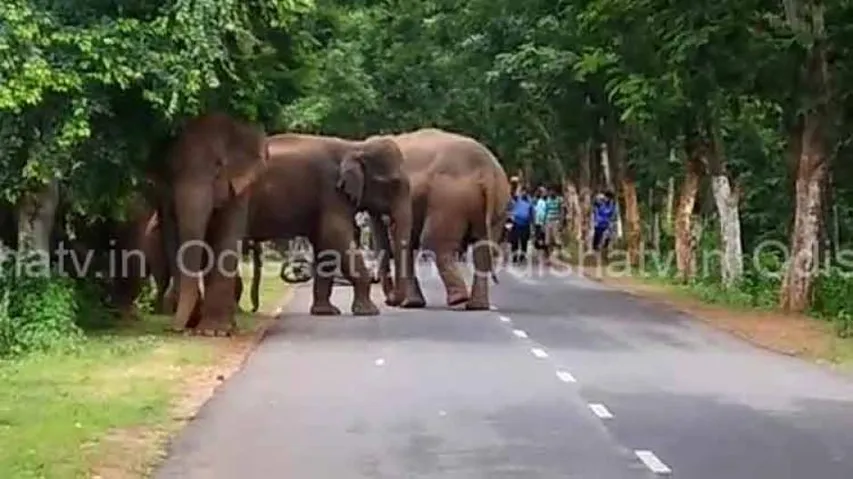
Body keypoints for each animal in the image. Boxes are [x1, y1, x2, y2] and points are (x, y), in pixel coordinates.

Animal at [159, 113, 269, 335]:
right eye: (173, 169)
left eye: (219, 166)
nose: (173, 329)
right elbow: (172, 236)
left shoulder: (238, 187)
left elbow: (226, 237)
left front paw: (212, 332)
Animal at [244, 133, 415, 316]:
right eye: (394, 184)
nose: (394, 301)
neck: (355, 146)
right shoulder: (332, 191)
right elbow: (336, 237)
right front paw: (369, 311)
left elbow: (325, 246)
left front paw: (326, 311)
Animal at [370, 128, 511, 310]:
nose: (390, 301)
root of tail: (486, 169)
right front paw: (411, 303)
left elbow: (401, 241)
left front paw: (409, 304)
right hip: (498, 204)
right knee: (483, 248)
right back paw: (476, 306)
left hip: (448, 199)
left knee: (434, 243)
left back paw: (459, 301)